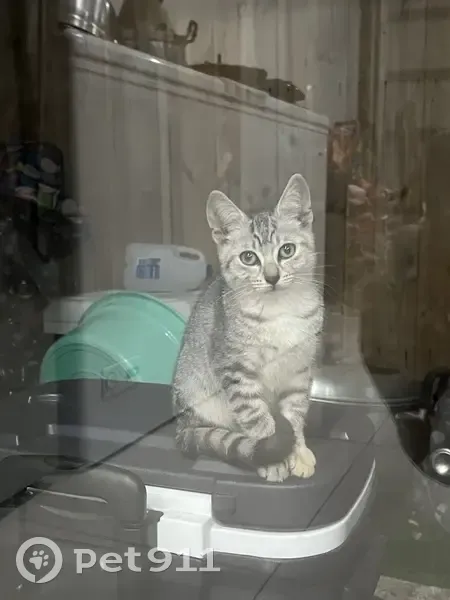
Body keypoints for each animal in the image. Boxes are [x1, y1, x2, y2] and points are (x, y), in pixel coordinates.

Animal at [172, 174, 323, 482]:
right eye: (249, 257)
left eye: (287, 250)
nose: (272, 277)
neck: (279, 311)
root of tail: (181, 427)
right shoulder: (237, 372)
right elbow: (258, 418)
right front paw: (275, 457)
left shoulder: (299, 371)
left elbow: (294, 413)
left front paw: (298, 451)